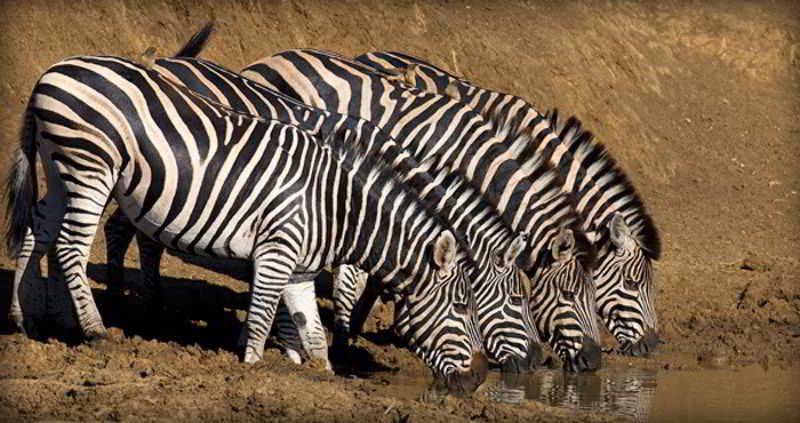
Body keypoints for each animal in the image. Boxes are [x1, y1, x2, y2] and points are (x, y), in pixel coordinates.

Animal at [7, 53, 494, 390]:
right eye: (461, 307)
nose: (478, 380)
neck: (336, 205)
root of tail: (52, 72)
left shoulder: (300, 270)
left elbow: (312, 333)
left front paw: (320, 375)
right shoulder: (278, 251)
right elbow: (262, 316)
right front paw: (255, 369)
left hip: (59, 167)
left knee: (37, 230)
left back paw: (30, 321)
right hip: (89, 164)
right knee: (70, 245)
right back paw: (95, 332)